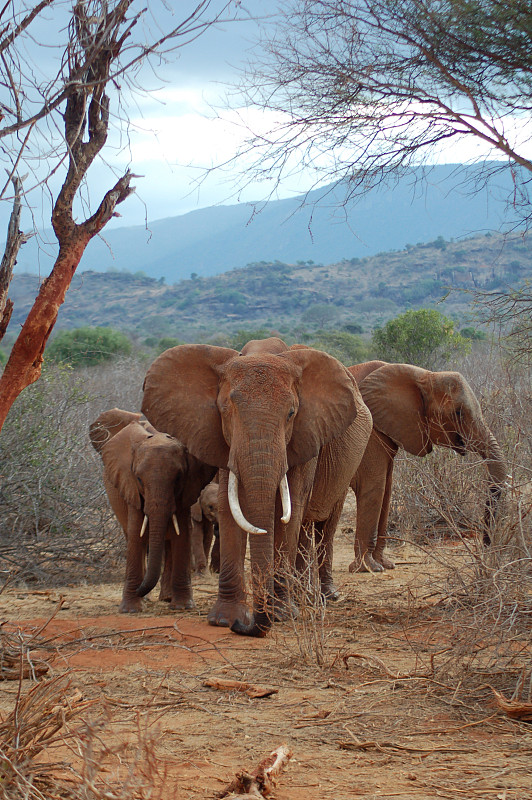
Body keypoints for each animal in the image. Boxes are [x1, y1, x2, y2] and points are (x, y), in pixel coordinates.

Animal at [90, 410, 215, 608]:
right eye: (139, 479)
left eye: (178, 478)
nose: (140, 590)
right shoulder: (131, 487)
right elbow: (136, 533)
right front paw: (131, 609)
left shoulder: (187, 488)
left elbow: (182, 533)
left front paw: (183, 606)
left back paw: (166, 597)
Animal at [350, 362, 508, 576]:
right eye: (458, 412)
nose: (486, 544)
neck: (423, 375)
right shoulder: (369, 430)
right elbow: (375, 486)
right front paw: (369, 568)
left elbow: (387, 489)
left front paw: (386, 565)